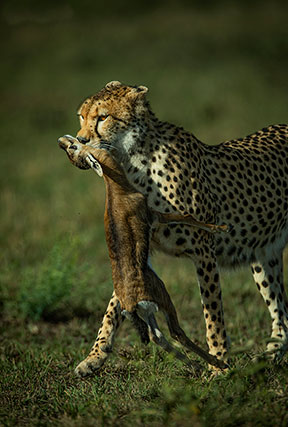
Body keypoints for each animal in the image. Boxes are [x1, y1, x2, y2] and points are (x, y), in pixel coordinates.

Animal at [59, 80, 288, 378]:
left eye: (103, 117)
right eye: (81, 116)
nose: (80, 140)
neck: (133, 159)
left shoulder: (203, 250)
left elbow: (213, 313)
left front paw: (219, 365)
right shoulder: (138, 252)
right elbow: (114, 305)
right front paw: (94, 356)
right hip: (264, 256)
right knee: (282, 315)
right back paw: (269, 357)